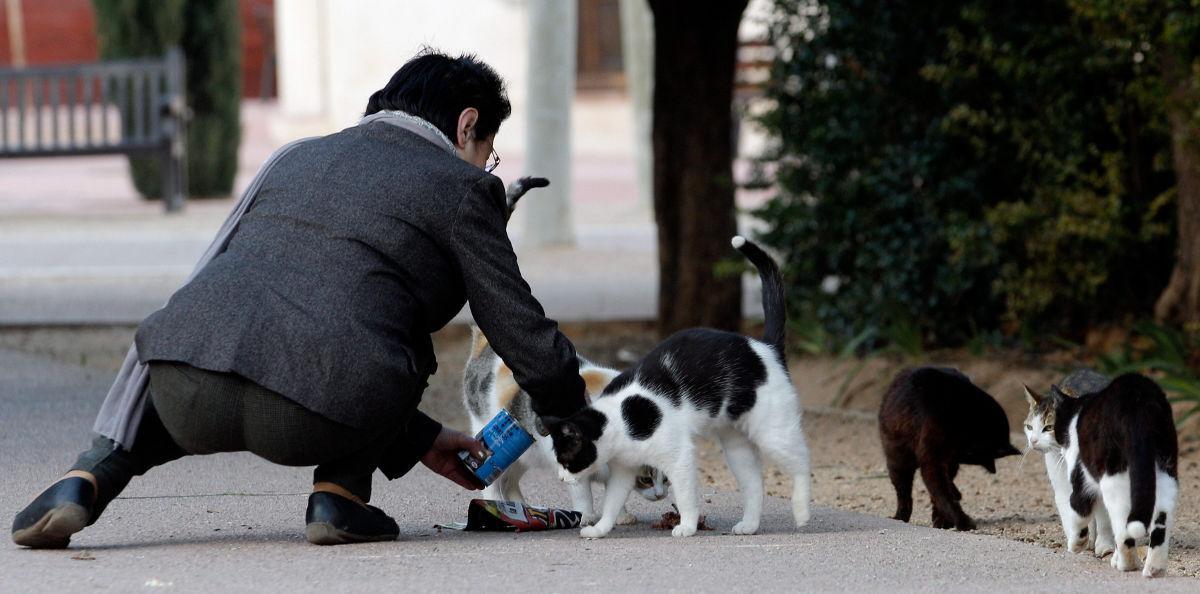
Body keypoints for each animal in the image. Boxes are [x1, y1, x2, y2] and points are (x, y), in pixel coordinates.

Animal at [460, 331, 672, 525]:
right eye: (646, 478)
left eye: (667, 478)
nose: (660, 494)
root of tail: (484, 344)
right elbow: (583, 495)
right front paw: (586, 517)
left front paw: (620, 516)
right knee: (493, 483)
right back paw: (496, 505)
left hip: (524, 453)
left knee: (509, 482)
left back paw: (523, 509)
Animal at [547, 236, 811, 540]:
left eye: (566, 460)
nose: (560, 477)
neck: (620, 419)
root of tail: (764, 347)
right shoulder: (624, 470)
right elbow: (612, 503)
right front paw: (600, 529)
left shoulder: (679, 457)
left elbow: (685, 496)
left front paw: (687, 525)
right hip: (737, 448)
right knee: (755, 484)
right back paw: (749, 525)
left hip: (773, 433)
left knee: (802, 462)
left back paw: (802, 511)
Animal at [878, 369, 1017, 532]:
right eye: (987, 455)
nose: (992, 469)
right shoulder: (933, 461)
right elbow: (943, 494)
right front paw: (963, 522)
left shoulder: (945, 460)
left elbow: (942, 493)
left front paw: (947, 517)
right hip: (898, 457)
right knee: (904, 492)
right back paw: (901, 517)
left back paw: (942, 518)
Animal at [1022, 374, 1180, 578]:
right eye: (1029, 427)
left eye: (1048, 427)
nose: (1033, 441)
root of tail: (1138, 402)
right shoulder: (1064, 484)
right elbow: (1069, 511)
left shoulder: (1082, 479)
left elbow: (1087, 515)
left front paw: (1086, 544)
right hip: (1164, 473)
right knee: (1161, 518)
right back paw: (1153, 568)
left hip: (1112, 476)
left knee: (1120, 524)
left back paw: (1125, 562)